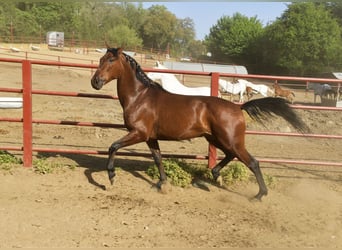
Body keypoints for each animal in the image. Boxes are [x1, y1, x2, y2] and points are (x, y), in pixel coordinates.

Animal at [91, 47, 310, 201]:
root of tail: (238, 107)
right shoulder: (151, 138)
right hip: (217, 139)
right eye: (101, 59)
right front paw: (162, 184)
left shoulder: (139, 133)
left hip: (230, 140)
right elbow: (158, 159)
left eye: (110, 60)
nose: (95, 82)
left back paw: (259, 195)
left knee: (252, 162)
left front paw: (111, 176)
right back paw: (215, 175)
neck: (140, 98)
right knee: (231, 156)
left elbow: (113, 147)